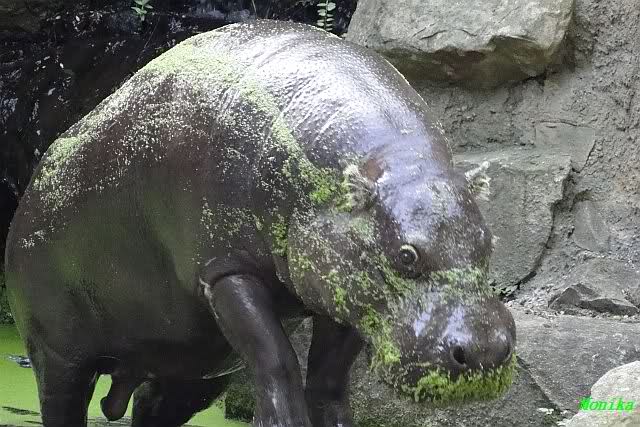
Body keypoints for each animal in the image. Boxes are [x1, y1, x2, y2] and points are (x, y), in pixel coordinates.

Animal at [5, 19, 516, 427]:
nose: (485, 351)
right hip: (57, 353)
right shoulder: (225, 269)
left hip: (190, 365)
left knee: (152, 405)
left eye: (488, 242)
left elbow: (328, 380)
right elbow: (277, 361)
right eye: (406, 255)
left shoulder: (346, 290)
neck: (392, 164)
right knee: (63, 403)